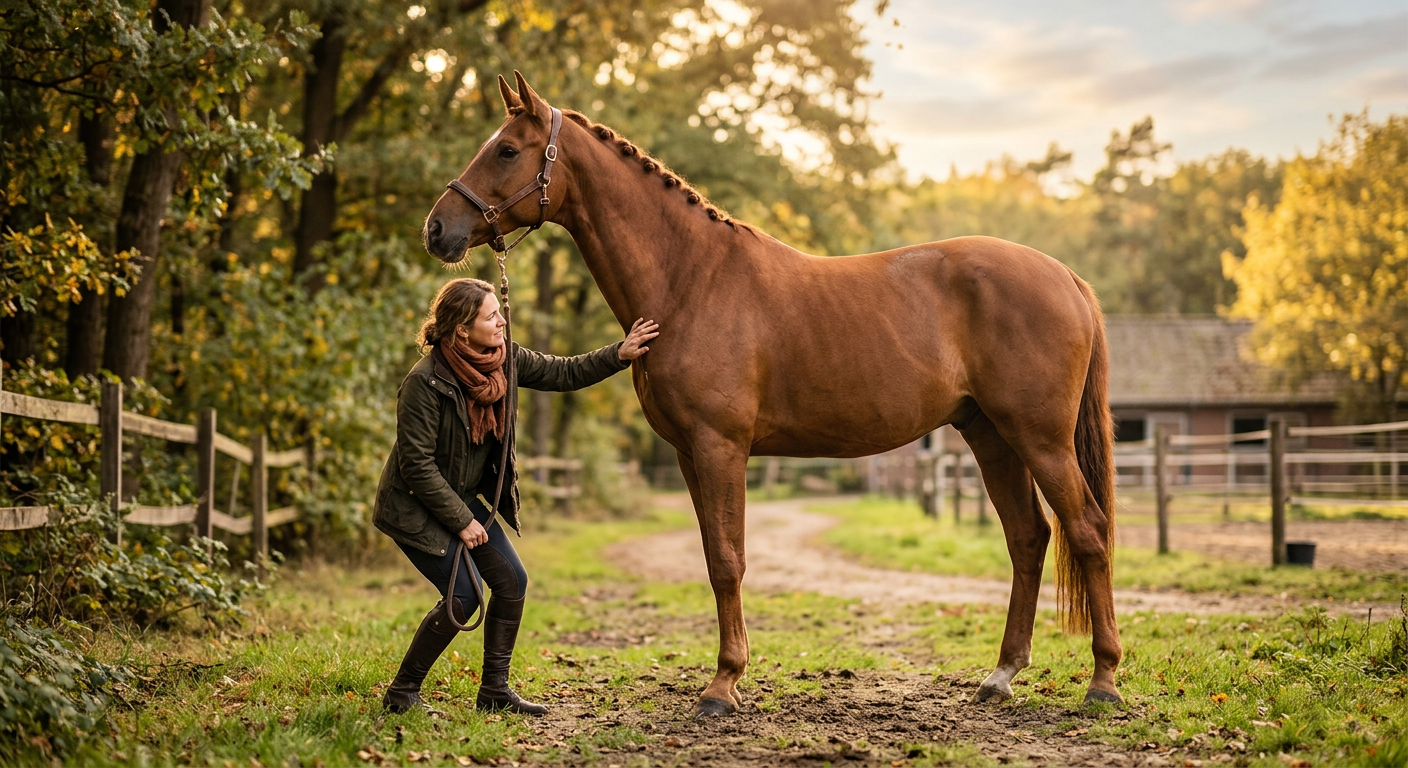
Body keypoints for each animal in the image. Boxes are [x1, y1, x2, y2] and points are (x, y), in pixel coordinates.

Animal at [423, 72, 1123, 717]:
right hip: (990, 434)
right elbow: (713, 558)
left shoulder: (721, 446)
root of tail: (1065, 275)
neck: (690, 281)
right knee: (1028, 537)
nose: (437, 229)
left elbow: (730, 559)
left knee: (1087, 530)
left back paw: (1103, 682)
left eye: (507, 150)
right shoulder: (688, 453)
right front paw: (726, 677)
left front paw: (722, 686)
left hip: (1040, 437)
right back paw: (1000, 676)